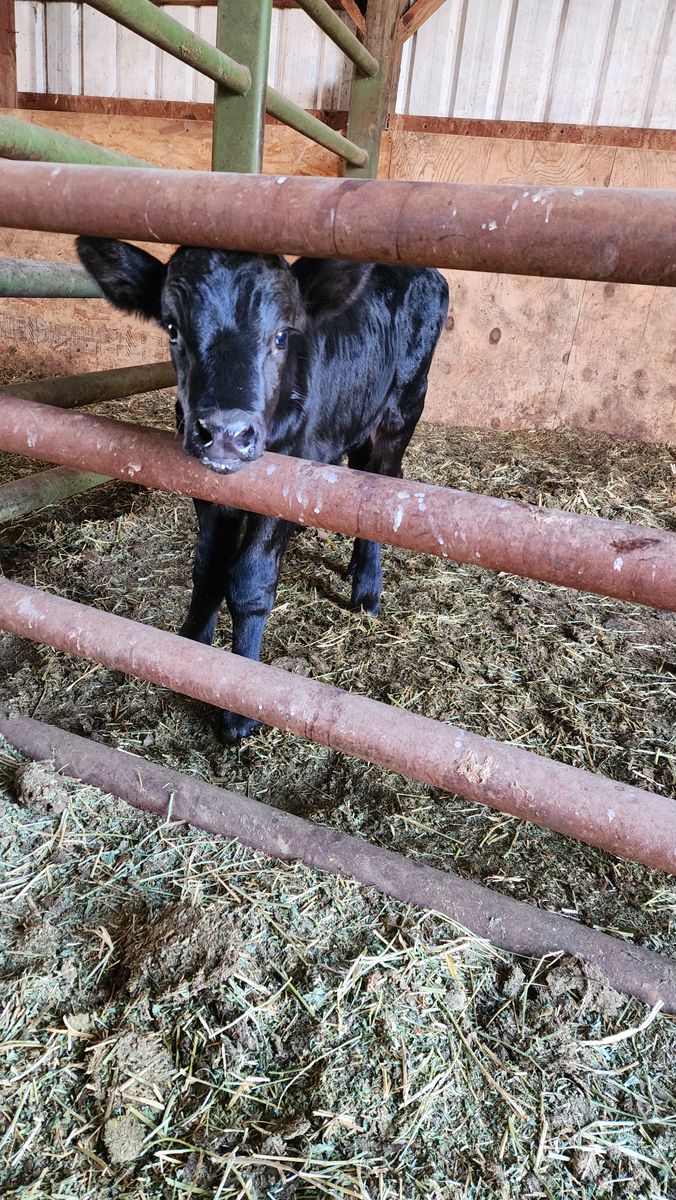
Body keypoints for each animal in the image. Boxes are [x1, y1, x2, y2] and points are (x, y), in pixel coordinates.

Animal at [76, 237, 449, 743]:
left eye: (281, 336)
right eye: (172, 328)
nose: (226, 433)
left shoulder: (288, 482)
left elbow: (250, 580)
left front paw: (239, 703)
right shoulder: (205, 485)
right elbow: (208, 570)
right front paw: (192, 652)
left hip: (404, 405)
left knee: (382, 481)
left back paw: (367, 590)